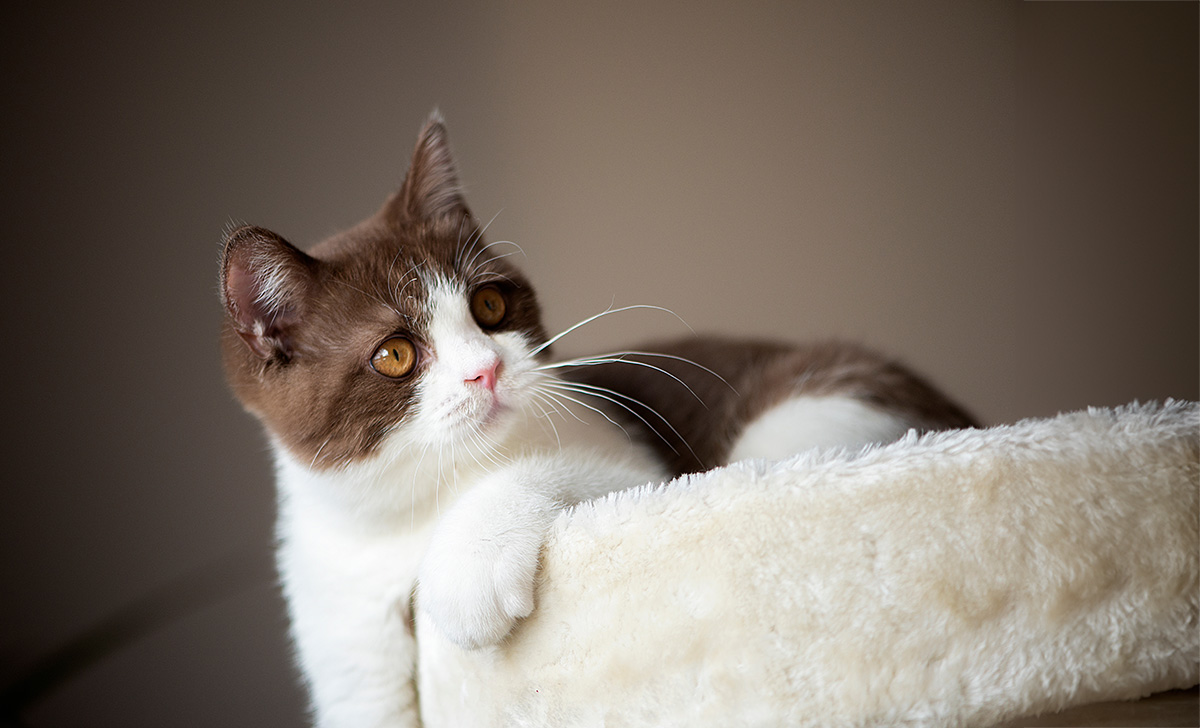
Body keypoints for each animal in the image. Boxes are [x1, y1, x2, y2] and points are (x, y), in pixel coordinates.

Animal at [218, 110, 974, 724]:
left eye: (490, 305)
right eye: (395, 354)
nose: (486, 370)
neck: (413, 501)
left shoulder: (627, 455)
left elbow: (575, 474)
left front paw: (465, 573)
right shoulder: (338, 606)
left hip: (821, 408)